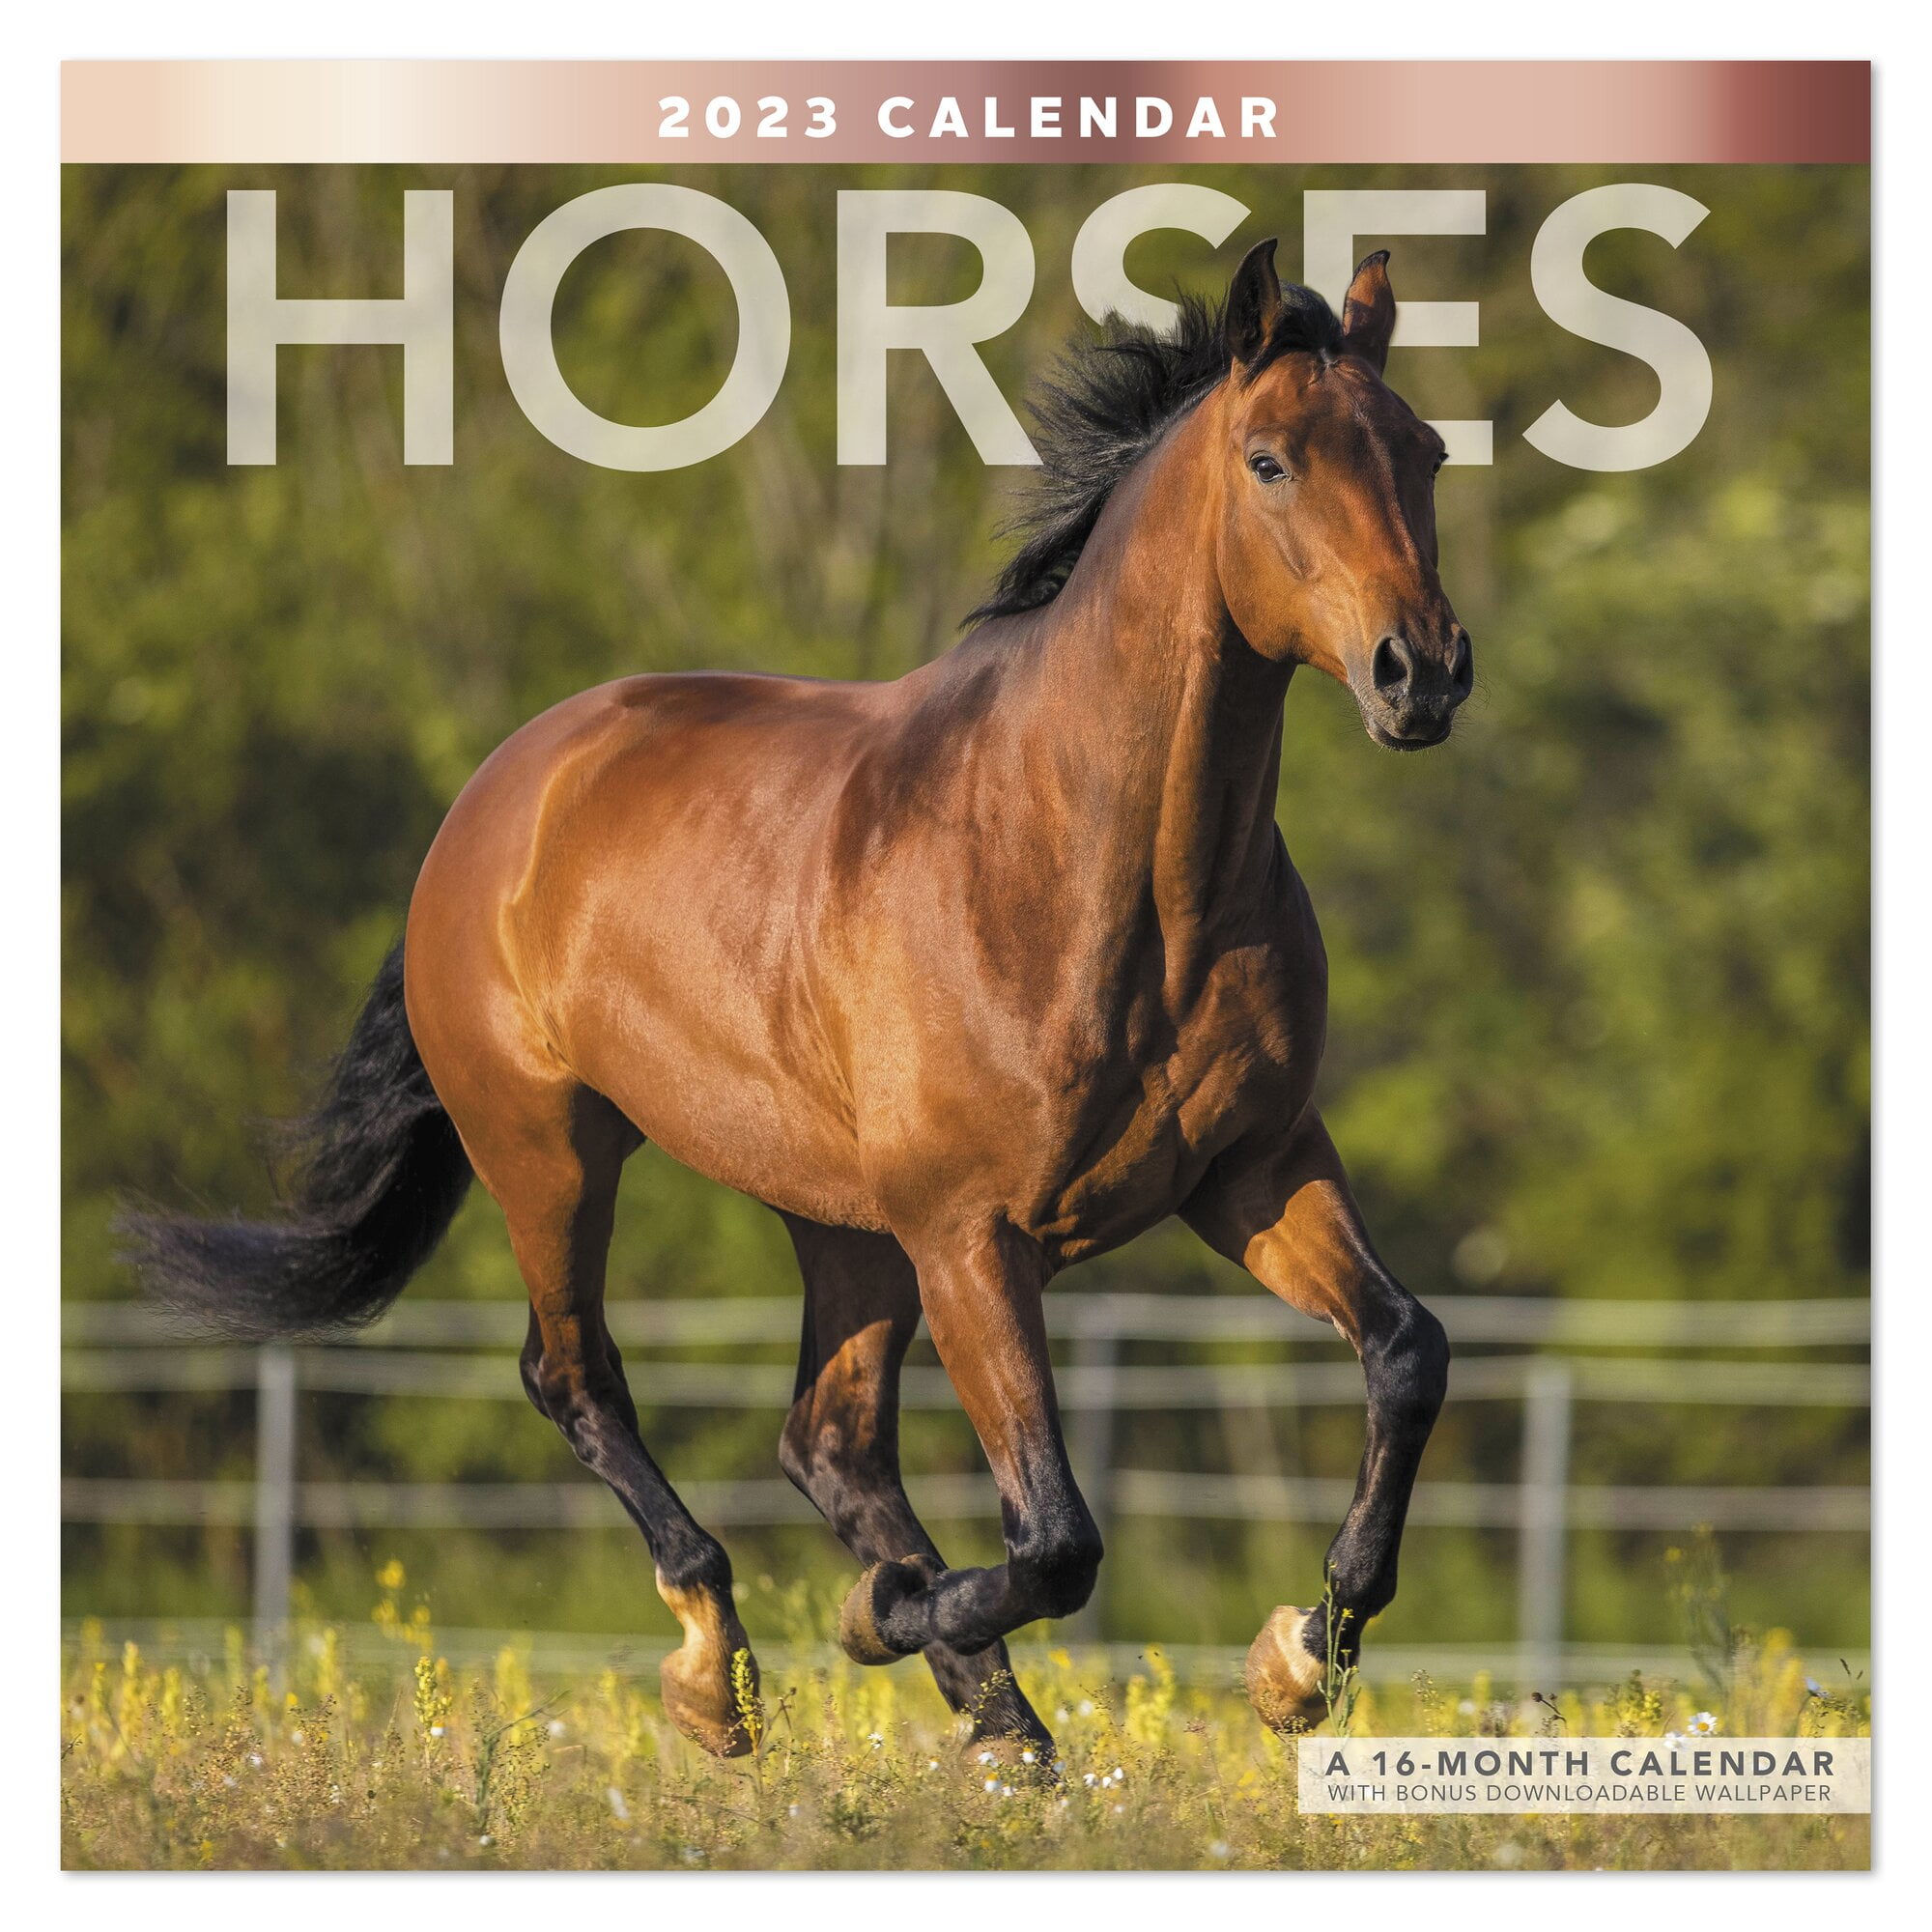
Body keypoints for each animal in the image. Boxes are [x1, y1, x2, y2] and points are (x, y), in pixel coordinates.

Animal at [128, 239, 1469, 1761]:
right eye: (1269, 461)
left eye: (1422, 451)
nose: (1422, 672)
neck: (1097, 870)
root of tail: (499, 790)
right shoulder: (973, 1236)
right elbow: (1057, 1536)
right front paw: (884, 1622)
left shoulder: (1251, 1169)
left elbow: (1406, 1351)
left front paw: (1299, 1656)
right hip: (552, 1150)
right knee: (577, 1377)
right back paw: (727, 1668)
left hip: (840, 1222)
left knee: (824, 1438)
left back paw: (995, 1723)